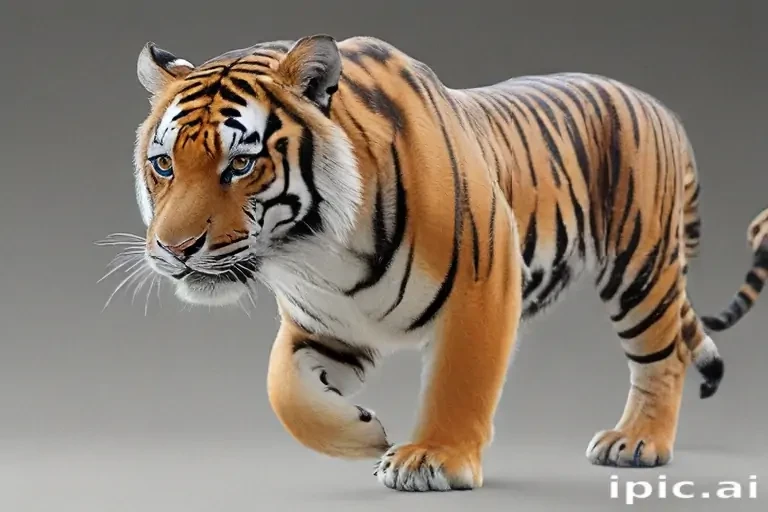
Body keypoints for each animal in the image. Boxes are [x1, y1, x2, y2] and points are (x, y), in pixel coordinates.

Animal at [120, 33, 747, 492]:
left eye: (241, 164)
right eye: (164, 164)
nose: (174, 249)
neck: (317, 251)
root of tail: (658, 106)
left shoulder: (485, 282)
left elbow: (459, 379)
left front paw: (432, 459)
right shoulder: (323, 324)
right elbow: (285, 393)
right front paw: (365, 436)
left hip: (641, 267)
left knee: (662, 358)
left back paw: (638, 442)